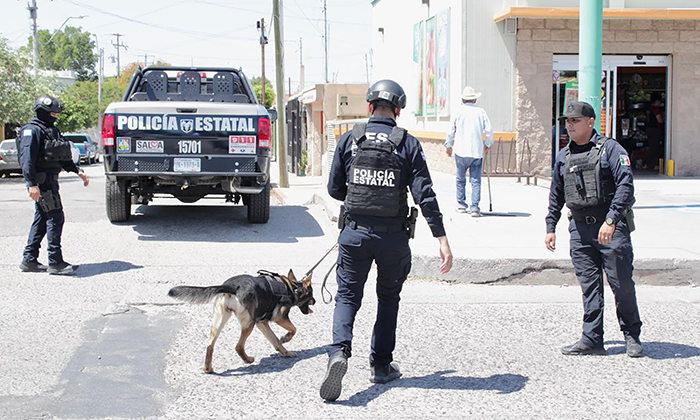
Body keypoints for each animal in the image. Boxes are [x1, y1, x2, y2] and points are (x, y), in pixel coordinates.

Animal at [170, 270, 314, 372]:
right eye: (312, 295)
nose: (316, 301)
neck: (293, 288)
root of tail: (231, 286)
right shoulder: (279, 317)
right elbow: (293, 329)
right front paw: (286, 338)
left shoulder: (262, 323)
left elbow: (275, 340)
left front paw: (285, 352)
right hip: (248, 324)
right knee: (238, 346)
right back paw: (248, 360)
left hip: (219, 321)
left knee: (210, 346)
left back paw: (208, 368)